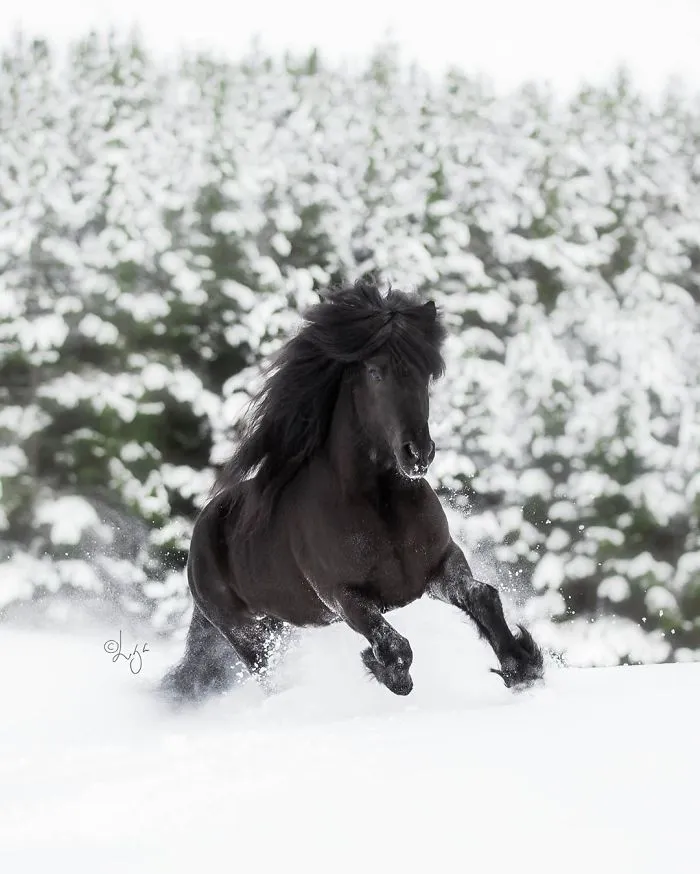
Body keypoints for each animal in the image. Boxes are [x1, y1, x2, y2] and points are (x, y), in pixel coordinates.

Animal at [162, 280, 544, 703]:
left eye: (427, 373)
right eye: (375, 372)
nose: (419, 453)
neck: (380, 504)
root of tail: (199, 535)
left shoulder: (440, 566)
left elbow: (483, 597)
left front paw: (523, 667)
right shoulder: (343, 596)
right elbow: (394, 646)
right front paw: (385, 672)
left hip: (278, 623)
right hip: (245, 632)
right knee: (269, 675)